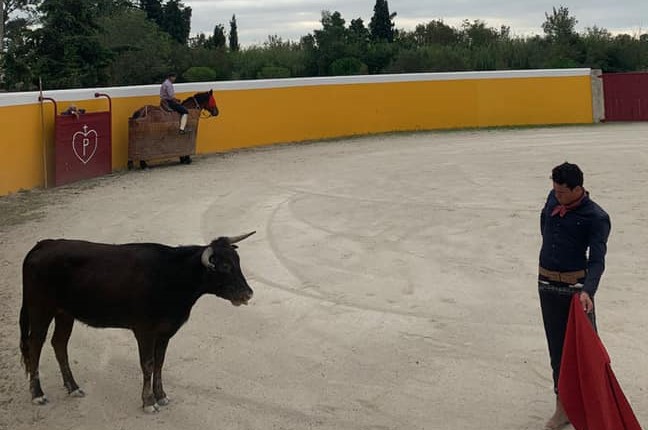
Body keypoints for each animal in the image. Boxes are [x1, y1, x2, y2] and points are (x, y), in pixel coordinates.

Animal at [18, 232, 256, 414]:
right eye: (224, 266)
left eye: (237, 262)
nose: (248, 294)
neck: (172, 275)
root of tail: (44, 244)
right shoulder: (144, 331)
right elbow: (148, 364)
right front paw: (148, 402)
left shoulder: (165, 332)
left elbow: (159, 363)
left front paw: (161, 396)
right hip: (40, 310)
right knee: (34, 345)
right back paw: (38, 394)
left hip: (64, 313)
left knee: (59, 344)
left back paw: (73, 387)